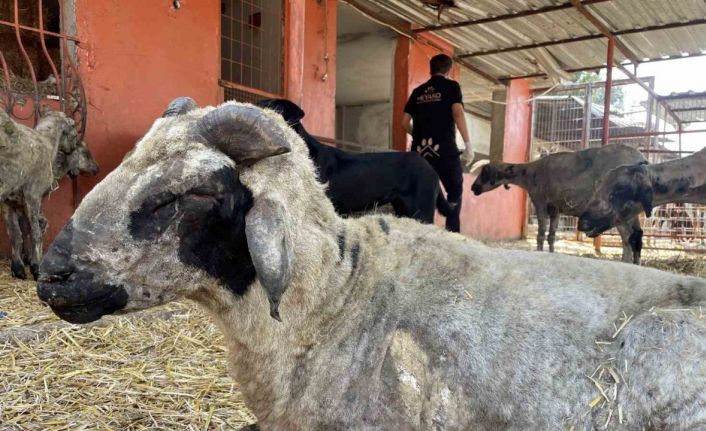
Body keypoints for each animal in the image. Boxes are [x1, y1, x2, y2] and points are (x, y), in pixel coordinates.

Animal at [0, 109, 87, 280]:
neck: (48, 144)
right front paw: (36, 268)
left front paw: (18, 268)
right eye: (74, 133)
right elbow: (36, 232)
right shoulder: (33, 196)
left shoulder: (10, 202)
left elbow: (15, 235)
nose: (73, 149)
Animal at [470, 145, 648, 264]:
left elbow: (541, 234)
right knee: (635, 237)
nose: (473, 188)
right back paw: (634, 264)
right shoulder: (556, 208)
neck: (529, 173)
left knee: (630, 238)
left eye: (484, 172)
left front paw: (539, 252)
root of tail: (641, 160)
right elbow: (551, 236)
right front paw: (551, 253)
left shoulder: (540, 202)